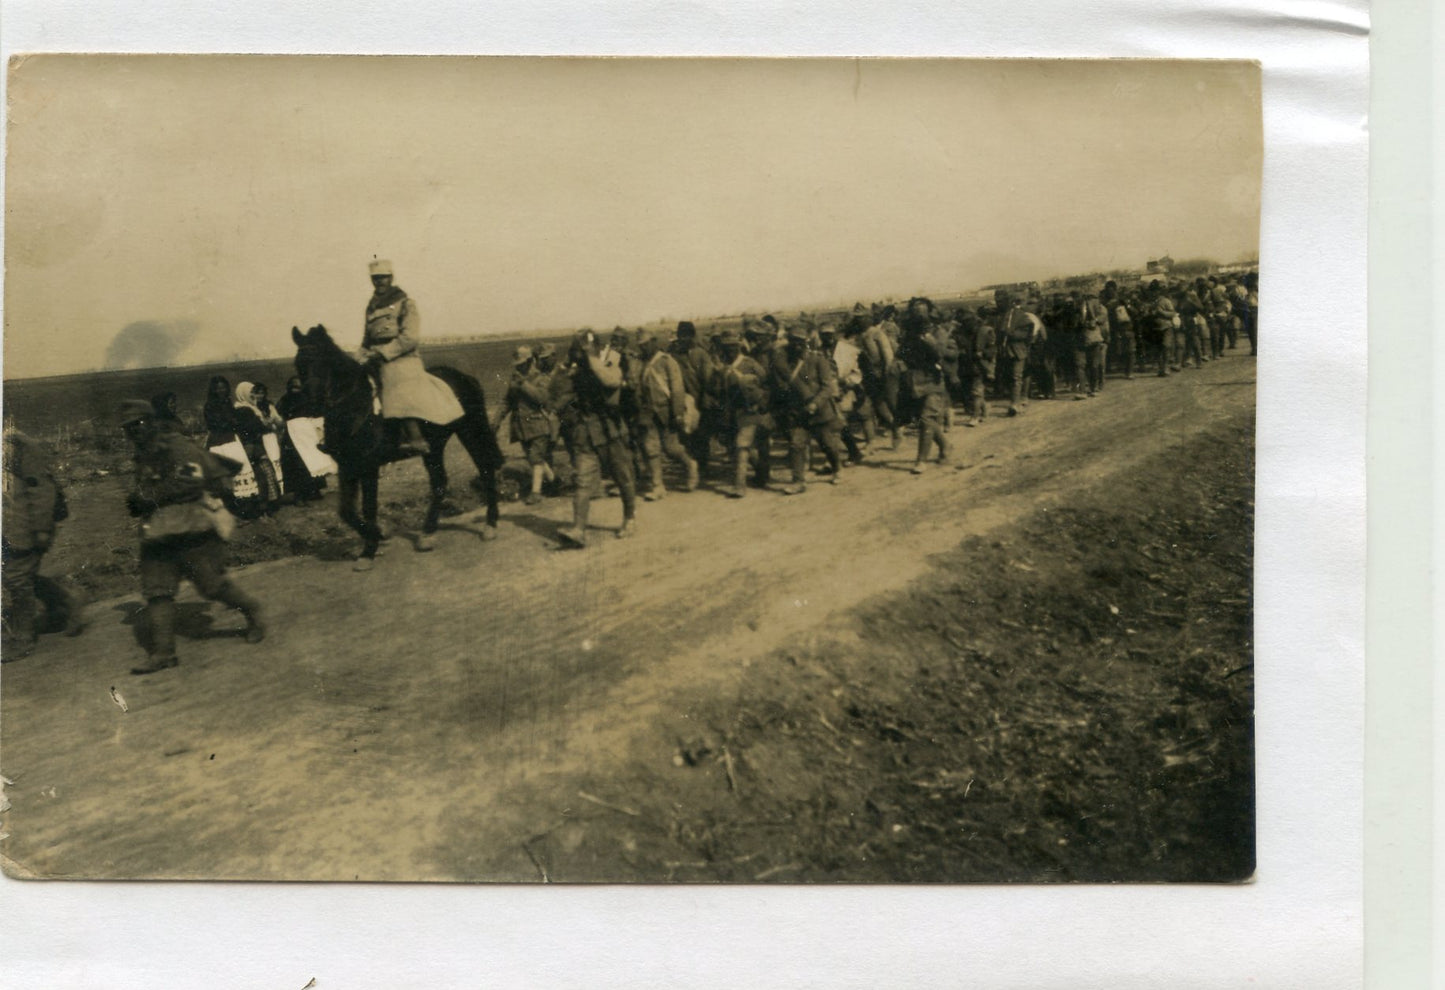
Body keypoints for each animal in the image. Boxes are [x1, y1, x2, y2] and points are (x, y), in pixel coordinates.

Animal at [290, 323, 505, 566]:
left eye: (324, 360)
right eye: (299, 364)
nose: (312, 404)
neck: (356, 407)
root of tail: (464, 376)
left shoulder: (369, 467)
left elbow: (368, 507)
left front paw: (370, 548)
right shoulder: (348, 467)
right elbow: (346, 511)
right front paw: (378, 535)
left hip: (470, 432)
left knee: (485, 469)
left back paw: (490, 525)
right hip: (434, 446)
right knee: (439, 484)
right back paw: (427, 534)